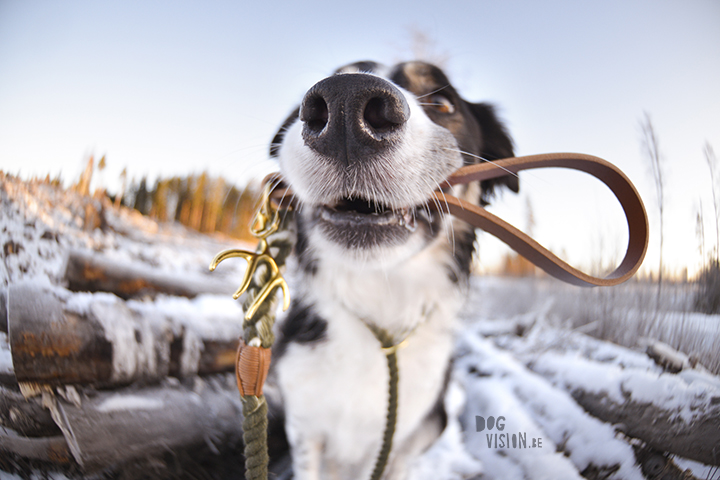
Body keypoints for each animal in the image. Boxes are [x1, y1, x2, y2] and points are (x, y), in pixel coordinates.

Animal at [270, 61, 516, 480]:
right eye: (341, 73)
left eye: (443, 101)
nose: (344, 105)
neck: (378, 300)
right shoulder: (304, 424)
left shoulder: (391, 434)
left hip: (434, 420)